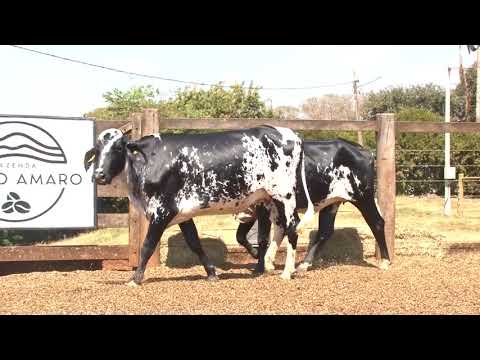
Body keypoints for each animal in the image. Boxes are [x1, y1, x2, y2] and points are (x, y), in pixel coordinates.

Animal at [84, 125, 314, 286]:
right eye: (97, 150)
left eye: (118, 148)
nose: (99, 175)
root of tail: (291, 135)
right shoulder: (182, 214)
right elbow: (194, 242)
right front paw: (211, 273)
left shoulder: (161, 211)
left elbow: (147, 245)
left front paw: (135, 278)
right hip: (269, 200)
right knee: (278, 229)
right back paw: (266, 263)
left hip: (285, 195)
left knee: (292, 228)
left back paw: (287, 271)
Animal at [234, 139, 392, 274]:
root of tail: (364, 151)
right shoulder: (251, 212)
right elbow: (240, 236)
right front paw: (258, 258)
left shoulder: (263, 207)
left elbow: (262, 238)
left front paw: (260, 266)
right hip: (331, 202)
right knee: (325, 231)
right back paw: (304, 264)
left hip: (363, 197)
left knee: (377, 222)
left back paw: (385, 261)